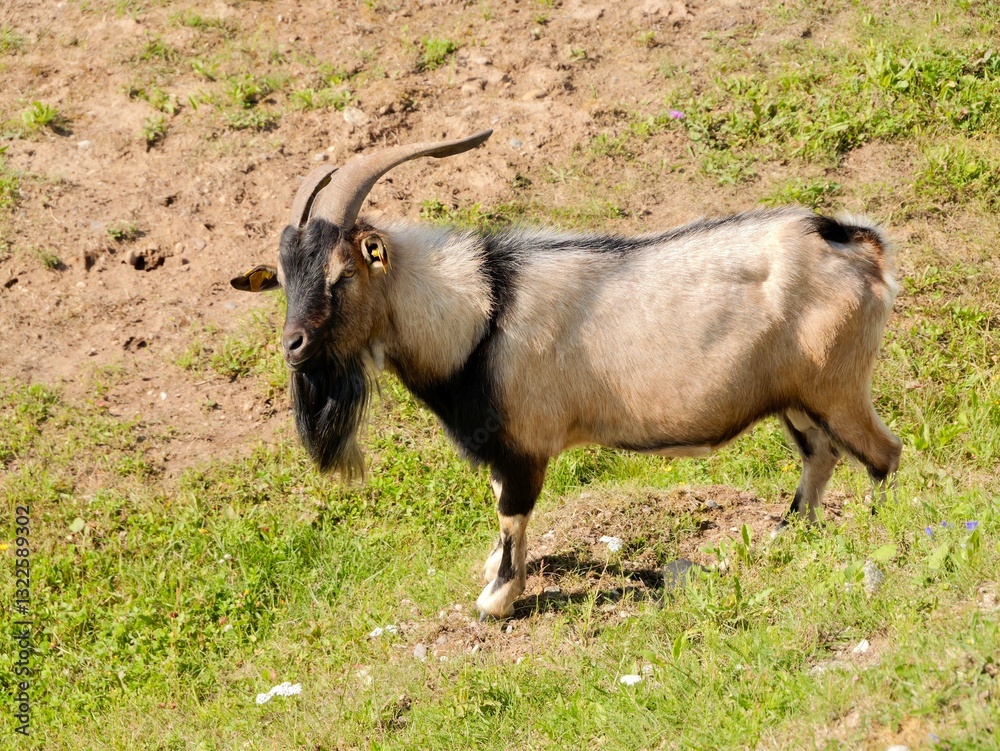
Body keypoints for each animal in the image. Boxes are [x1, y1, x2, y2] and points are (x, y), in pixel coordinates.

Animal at [231, 130, 902, 619]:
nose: (293, 346)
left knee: (881, 455)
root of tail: (855, 245)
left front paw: (496, 599)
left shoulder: (523, 446)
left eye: (342, 273)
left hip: (837, 386)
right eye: (285, 279)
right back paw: (788, 534)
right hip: (795, 396)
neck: (480, 311)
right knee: (821, 454)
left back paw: (879, 533)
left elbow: (512, 515)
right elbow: (501, 510)